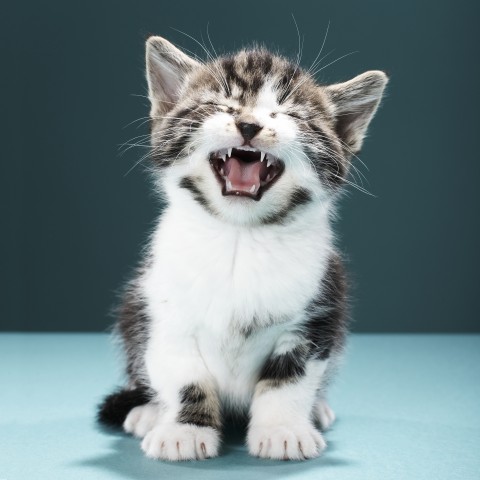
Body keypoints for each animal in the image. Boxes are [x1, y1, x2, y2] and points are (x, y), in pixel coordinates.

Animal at [96, 34, 386, 462]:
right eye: (222, 104)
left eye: (288, 114)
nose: (249, 124)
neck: (239, 237)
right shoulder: (162, 310)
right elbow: (185, 377)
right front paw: (183, 430)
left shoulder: (318, 312)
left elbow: (289, 379)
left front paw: (283, 429)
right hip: (133, 308)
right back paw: (147, 412)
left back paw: (316, 409)